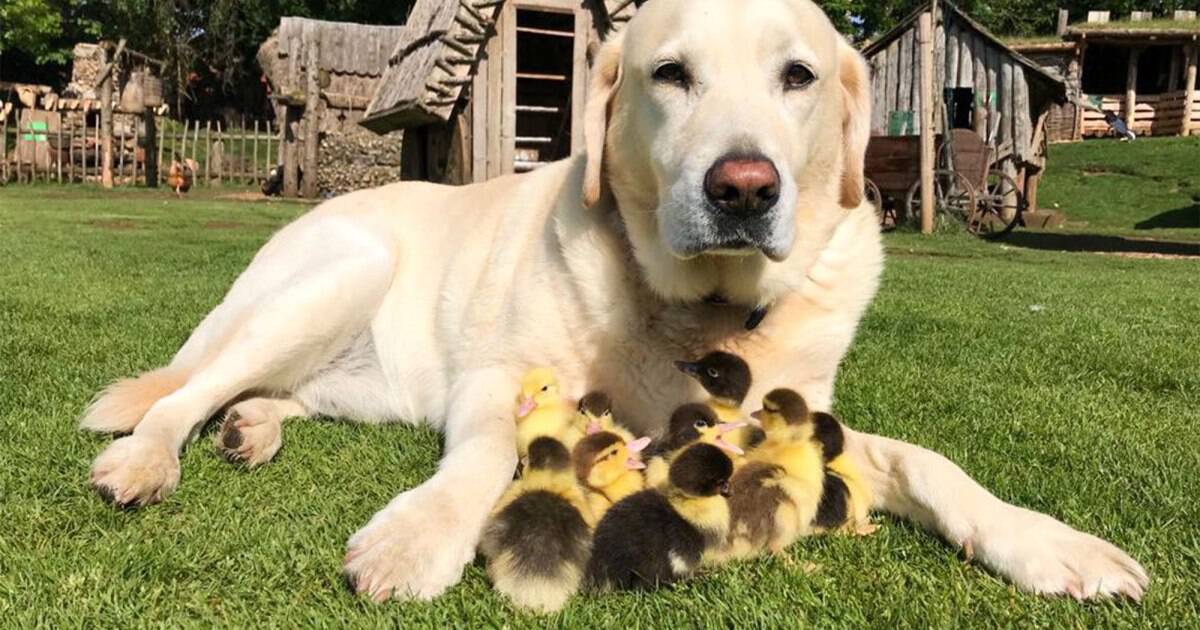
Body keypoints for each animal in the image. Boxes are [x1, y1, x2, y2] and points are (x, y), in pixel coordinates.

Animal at [79, 0, 1147, 602]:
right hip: (339, 274)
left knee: (266, 393)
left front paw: (1054, 545)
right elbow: (486, 455)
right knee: (187, 389)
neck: (702, 313)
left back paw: (253, 428)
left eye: (798, 75)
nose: (744, 188)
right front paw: (418, 537)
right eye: (669, 74)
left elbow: (933, 463)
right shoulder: (498, 378)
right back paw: (148, 459)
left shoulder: (809, 419)